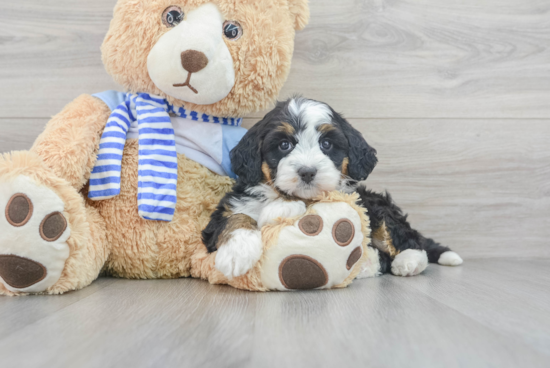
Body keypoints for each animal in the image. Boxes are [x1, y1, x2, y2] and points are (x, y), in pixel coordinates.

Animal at [201, 98, 464, 278]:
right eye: (284, 145)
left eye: (326, 144)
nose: (307, 172)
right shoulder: (225, 212)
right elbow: (236, 219)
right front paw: (236, 253)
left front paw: (281, 209)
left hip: (378, 206)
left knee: (408, 240)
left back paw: (406, 261)